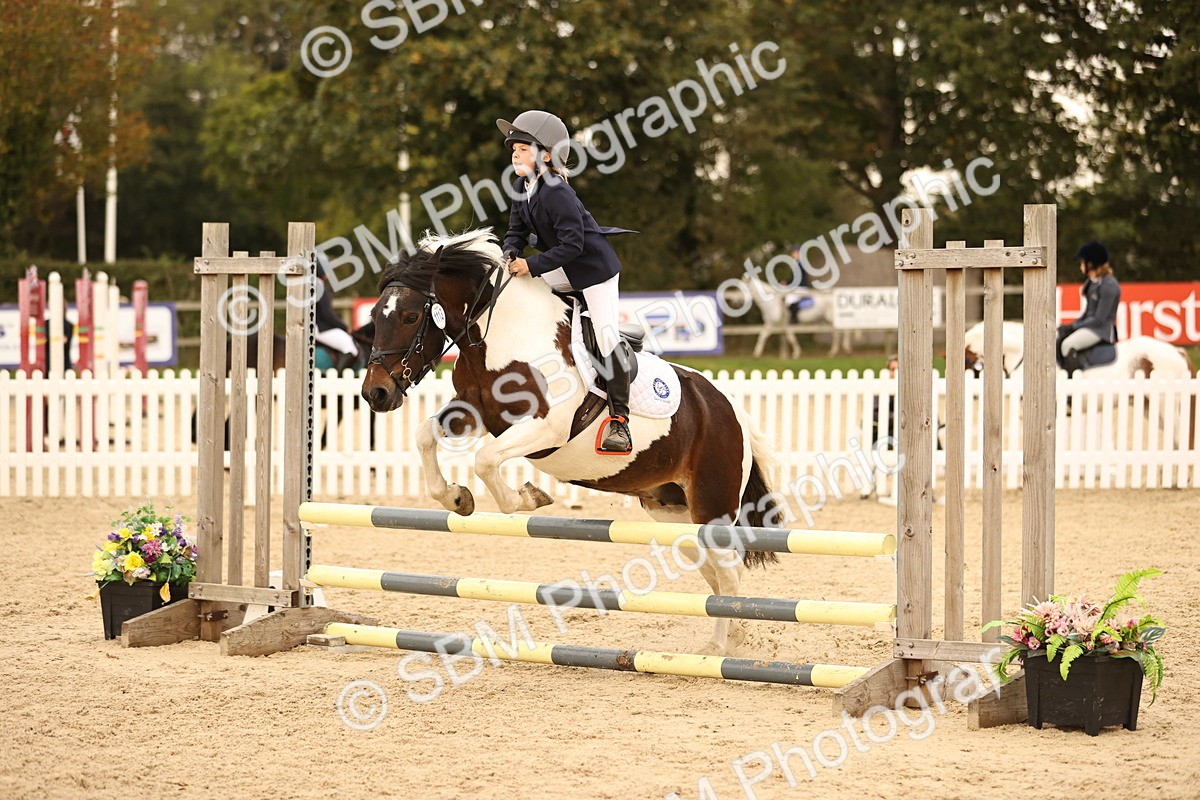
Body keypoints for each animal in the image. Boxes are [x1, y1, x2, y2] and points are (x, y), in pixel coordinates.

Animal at [361, 230, 784, 656]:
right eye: (374, 317)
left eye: (411, 317)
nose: (375, 394)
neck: (506, 335)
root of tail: (731, 410)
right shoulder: (474, 413)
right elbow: (425, 435)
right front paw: (456, 497)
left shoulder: (546, 428)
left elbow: (485, 460)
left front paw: (528, 497)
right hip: (673, 511)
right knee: (715, 572)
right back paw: (734, 637)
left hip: (712, 506)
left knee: (728, 572)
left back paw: (718, 649)